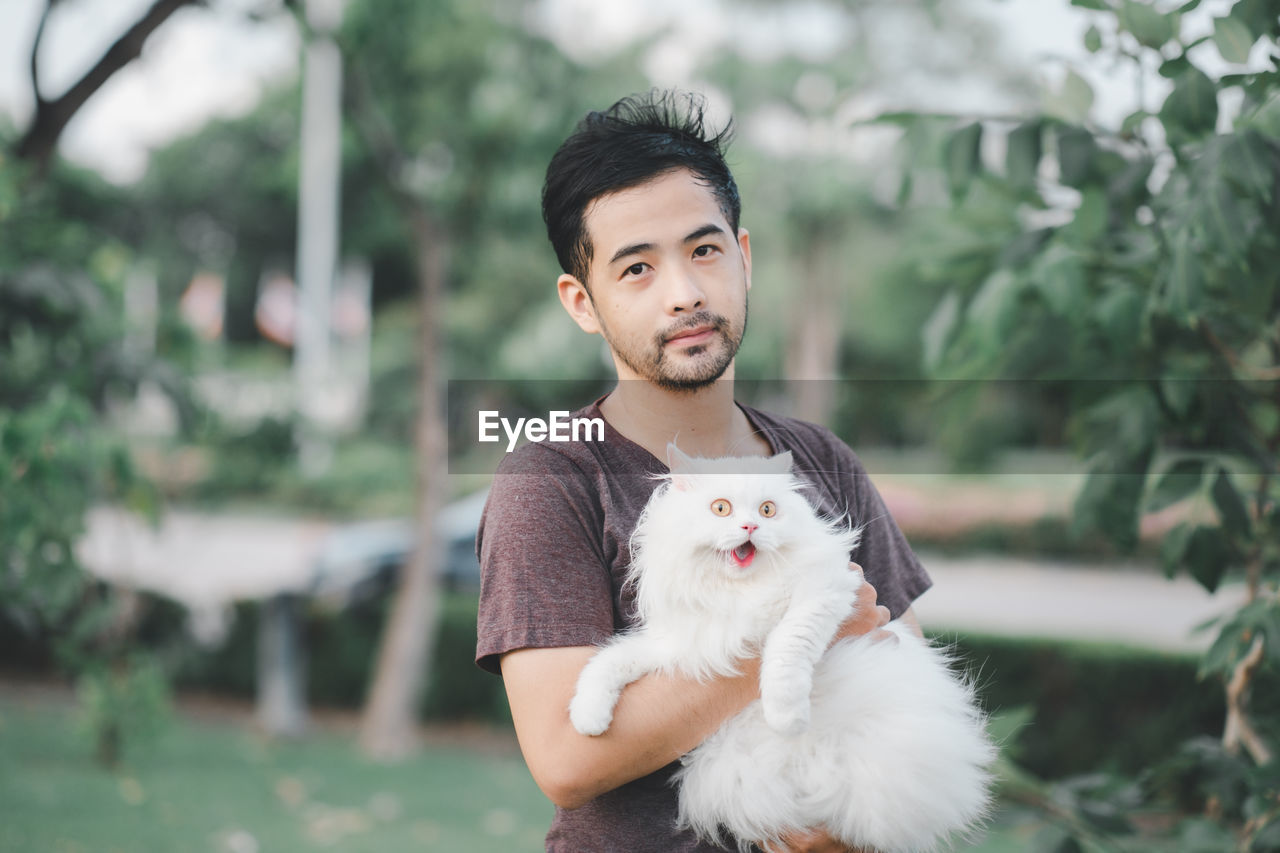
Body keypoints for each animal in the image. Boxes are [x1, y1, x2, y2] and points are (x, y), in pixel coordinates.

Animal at [570, 445, 998, 850]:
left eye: (768, 510)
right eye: (721, 508)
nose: (751, 525)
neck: (739, 594)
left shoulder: (821, 595)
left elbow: (785, 650)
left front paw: (786, 716)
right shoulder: (682, 645)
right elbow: (607, 662)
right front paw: (589, 720)